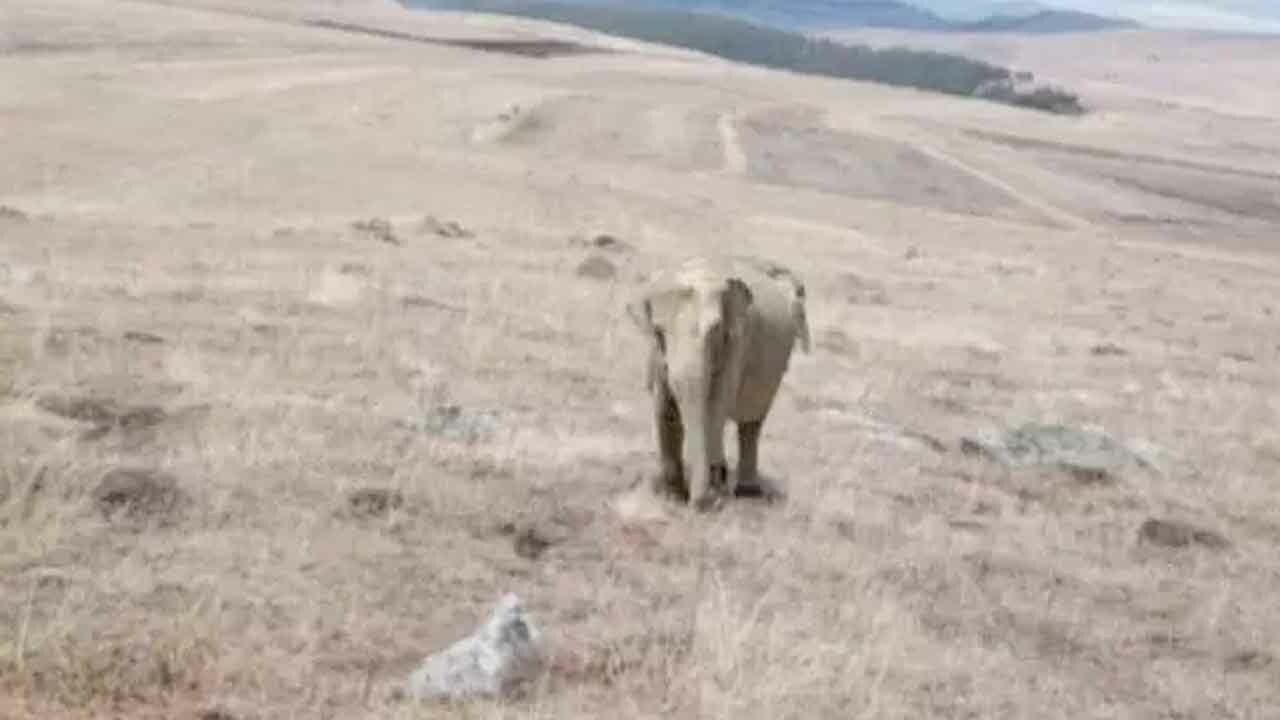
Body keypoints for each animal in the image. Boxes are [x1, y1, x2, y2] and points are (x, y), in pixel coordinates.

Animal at [627, 254, 808, 507]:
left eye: (714, 330)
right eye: (658, 331)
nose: (700, 504)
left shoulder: (737, 340)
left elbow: (715, 405)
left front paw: (712, 492)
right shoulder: (658, 355)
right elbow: (665, 408)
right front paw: (672, 498)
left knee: (751, 423)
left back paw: (747, 493)